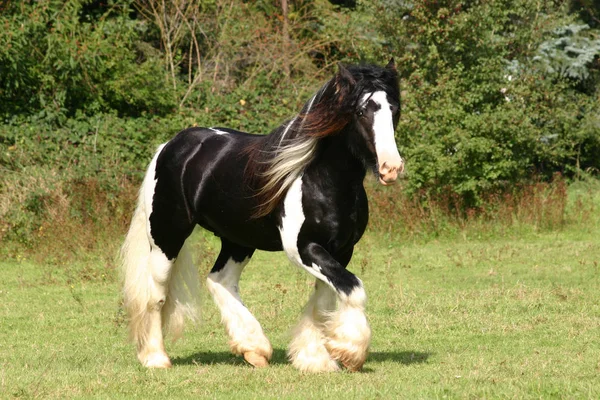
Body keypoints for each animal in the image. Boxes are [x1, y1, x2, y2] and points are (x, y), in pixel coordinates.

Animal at [120, 59, 404, 372]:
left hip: (238, 240)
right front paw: (350, 351)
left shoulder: (341, 251)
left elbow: (324, 301)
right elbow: (354, 289)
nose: (391, 168)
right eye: (361, 111)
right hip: (166, 237)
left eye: (394, 109)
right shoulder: (304, 249)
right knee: (155, 295)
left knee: (219, 280)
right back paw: (156, 358)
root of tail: (170, 147)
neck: (321, 180)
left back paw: (253, 349)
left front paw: (314, 358)